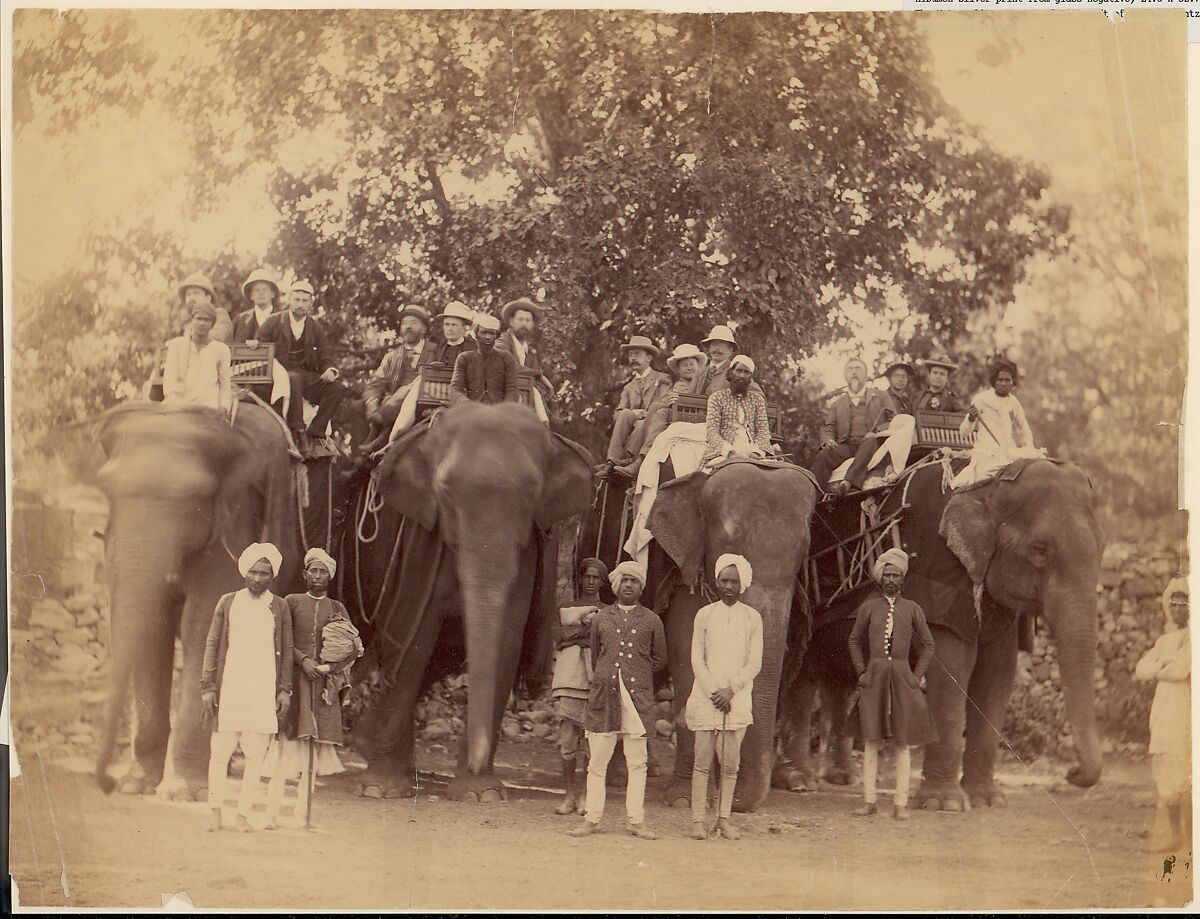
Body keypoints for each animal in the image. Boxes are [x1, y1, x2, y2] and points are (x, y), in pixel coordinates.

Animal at [93, 403, 309, 796]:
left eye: (195, 496)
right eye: (105, 489)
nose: (107, 783)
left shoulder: (235, 527)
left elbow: (202, 623)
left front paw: (179, 791)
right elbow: (154, 623)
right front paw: (137, 784)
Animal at [345, 407, 592, 801]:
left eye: (532, 493)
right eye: (445, 491)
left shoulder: (526, 552)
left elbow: (506, 641)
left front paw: (481, 794)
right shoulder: (419, 539)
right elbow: (412, 636)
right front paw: (378, 790)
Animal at [777, 460, 1104, 815]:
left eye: (1101, 550)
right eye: (1040, 550)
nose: (1071, 773)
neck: (987, 484)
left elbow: (998, 672)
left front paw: (988, 801)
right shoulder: (940, 570)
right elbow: (952, 666)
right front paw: (944, 804)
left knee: (842, 682)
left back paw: (841, 778)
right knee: (802, 678)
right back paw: (798, 781)